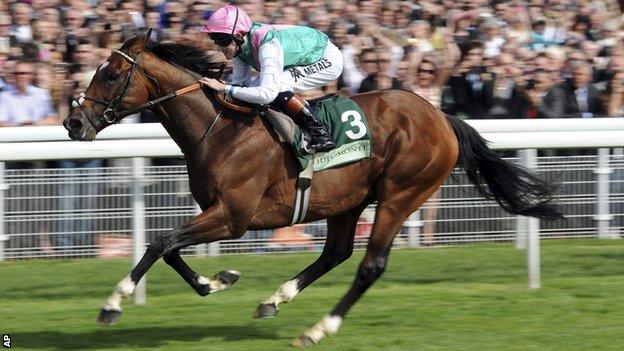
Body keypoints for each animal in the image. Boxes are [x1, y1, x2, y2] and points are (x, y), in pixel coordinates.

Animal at [63, 31, 560, 350]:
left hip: (402, 193)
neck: (219, 130)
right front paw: (218, 281)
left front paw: (112, 305)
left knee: (369, 266)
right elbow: (169, 250)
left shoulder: (233, 216)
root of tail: (440, 116)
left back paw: (318, 329)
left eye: (111, 75)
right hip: (348, 200)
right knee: (335, 253)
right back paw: (273, 300)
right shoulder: (216, 212)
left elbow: (160, 242)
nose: (72, 123)